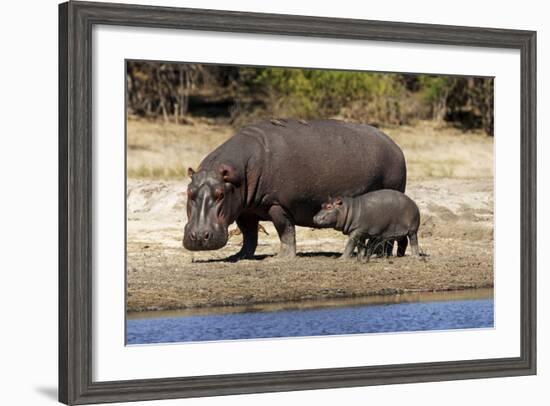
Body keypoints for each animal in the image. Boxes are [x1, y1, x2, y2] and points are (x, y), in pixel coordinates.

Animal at [183, 119, 408, 258]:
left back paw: (381, 254)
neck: (236, 174)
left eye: (220, 194)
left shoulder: (277, 204)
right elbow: (249, 235)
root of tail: (395, 146)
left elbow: (285, 231)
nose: (199, 236)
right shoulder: (244, 209)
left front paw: (282, 257)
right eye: (188, 192)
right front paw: (240, 256)